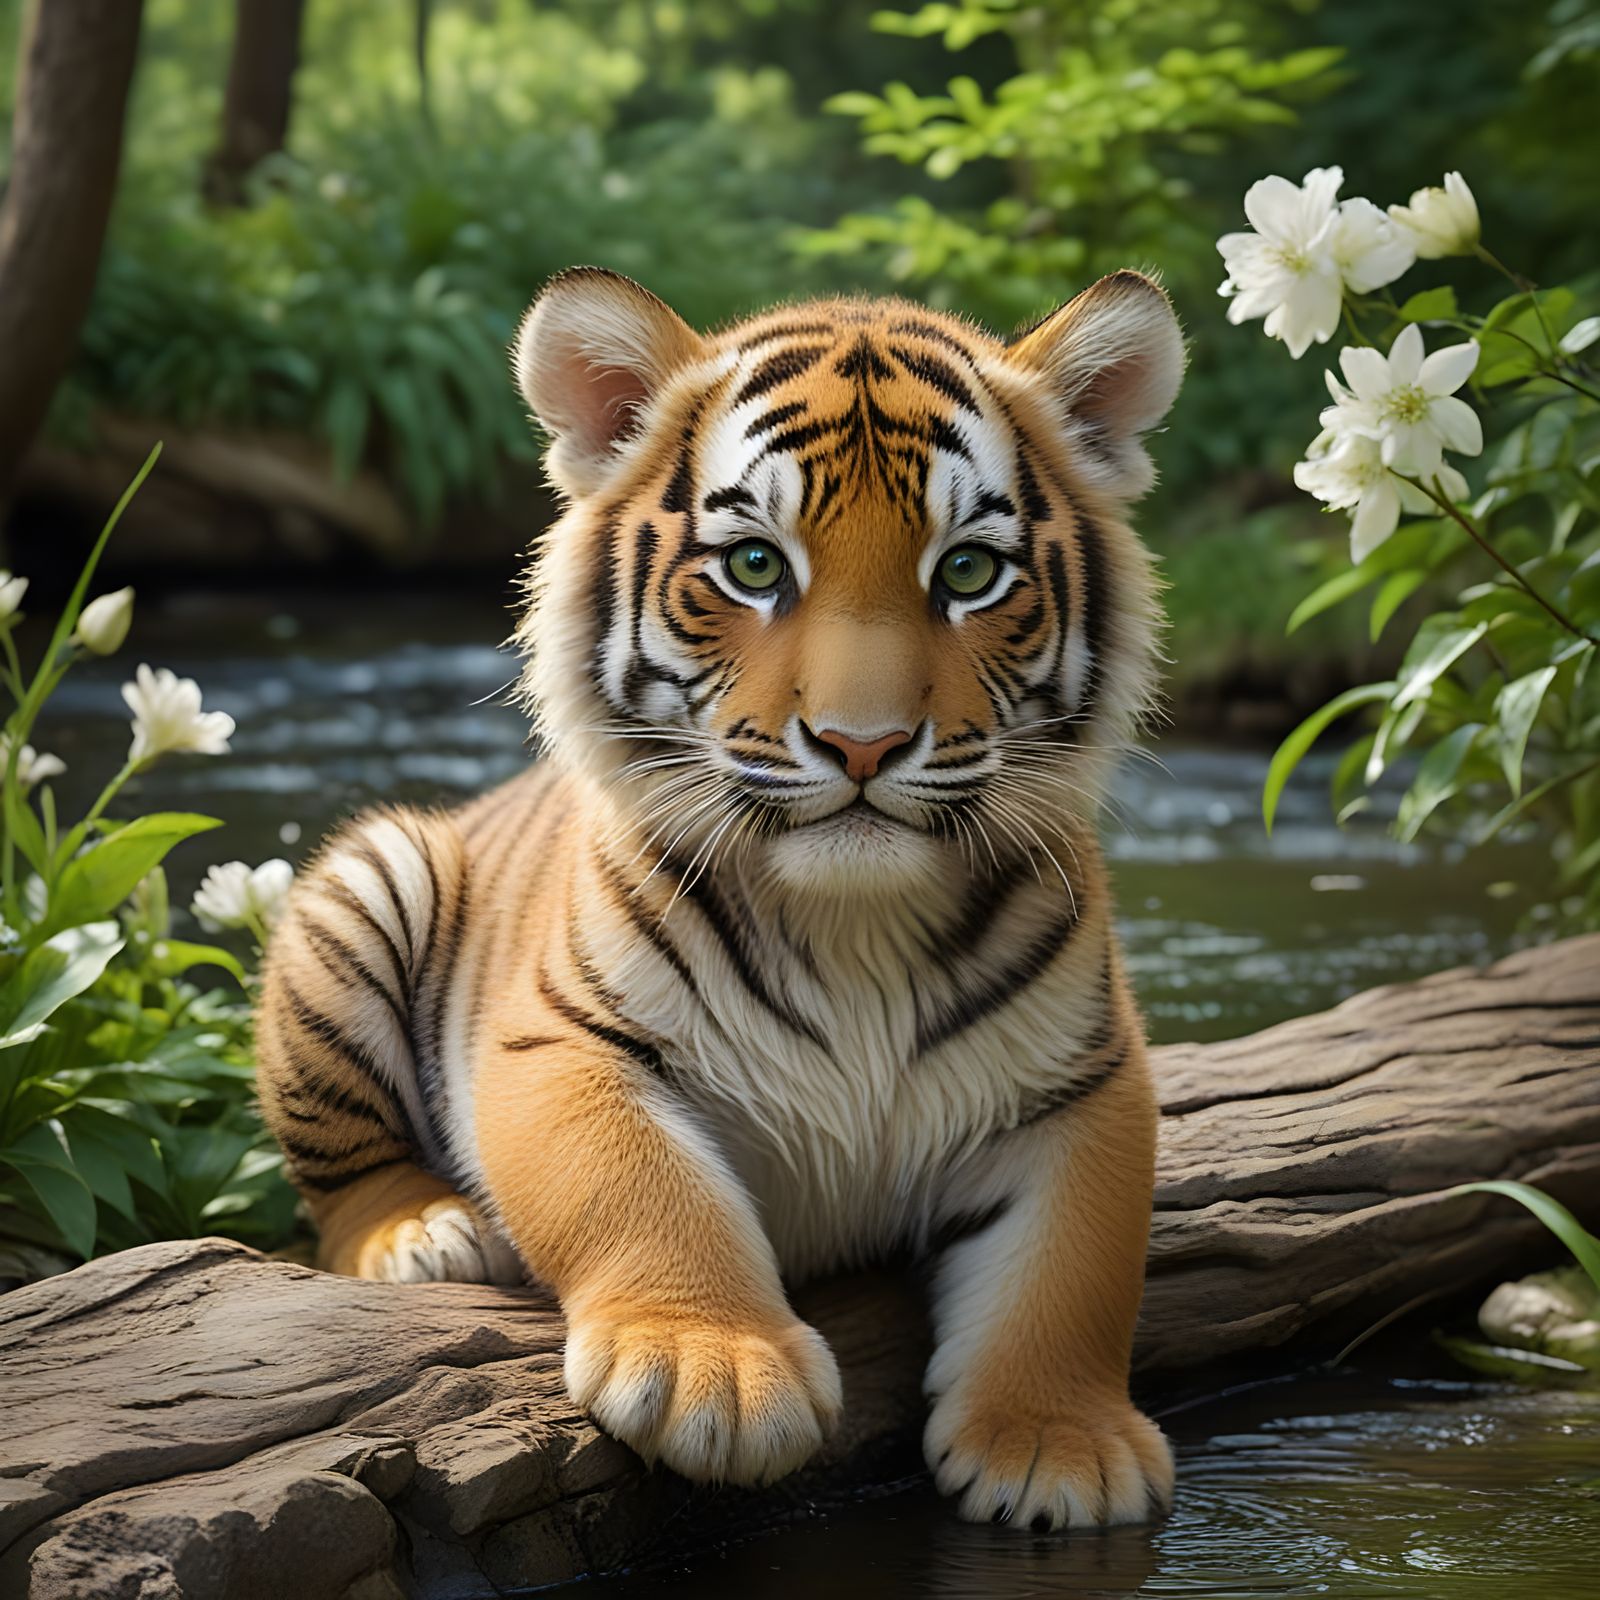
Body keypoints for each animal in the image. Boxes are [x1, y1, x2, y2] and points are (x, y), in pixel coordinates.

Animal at [255, 264, 1186, 1530]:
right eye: (754, 566)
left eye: (966, 571)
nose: (861, 743)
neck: (856, 927)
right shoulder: (561, 1039)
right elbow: (640, 1186)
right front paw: (714, 1377)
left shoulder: (1083, 1081)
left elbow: (1076, 1263)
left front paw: (1057, 1445)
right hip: (371, 878)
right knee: (337, 1171)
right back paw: (423, 1234)